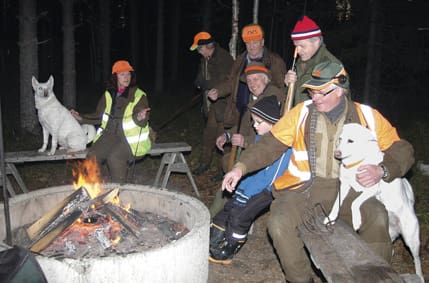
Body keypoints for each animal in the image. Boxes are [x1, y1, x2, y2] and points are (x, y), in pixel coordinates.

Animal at [324, 123, 422, 282]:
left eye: (350, 141)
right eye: (340, 139)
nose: (337, 153)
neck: (356, 162)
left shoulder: (372, 189)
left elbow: (354, 203)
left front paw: (356, 220)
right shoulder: (344, 185)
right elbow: (336, 203)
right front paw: (331, 218)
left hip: (411, 239)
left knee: (417, 259)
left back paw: (419, 275)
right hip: (390, 233)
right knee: (391, 248)